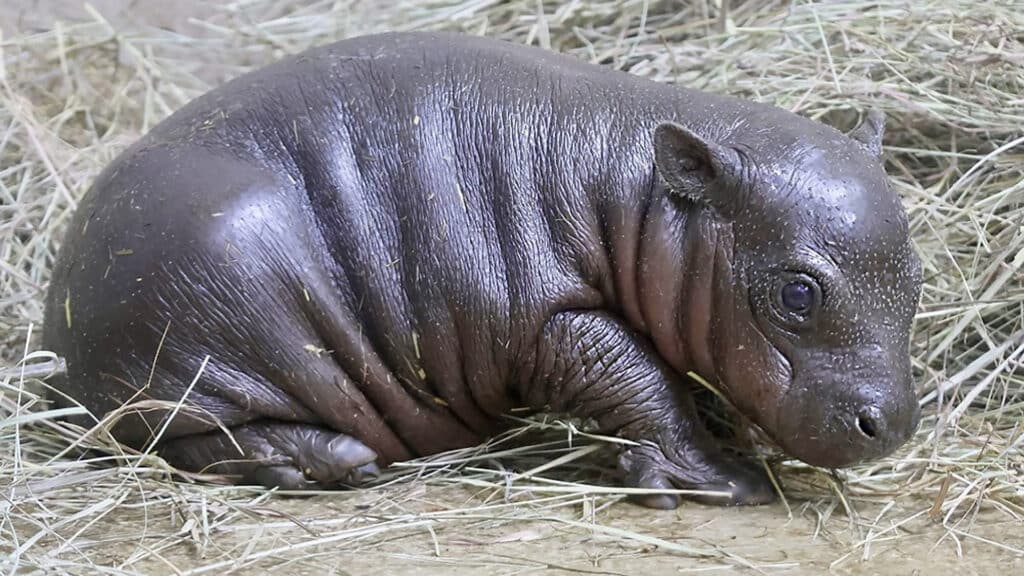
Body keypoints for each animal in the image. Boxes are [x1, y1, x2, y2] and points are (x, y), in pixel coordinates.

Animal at [42, 31, 922, 508]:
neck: (636, 191)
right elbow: (639, 378)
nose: (896, 424)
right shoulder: (547, 322)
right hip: (217, 307)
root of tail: (56, 313)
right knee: (196, 441)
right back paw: (336, 463)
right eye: (797, 290)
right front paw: (728, 479)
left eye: (916, 276)